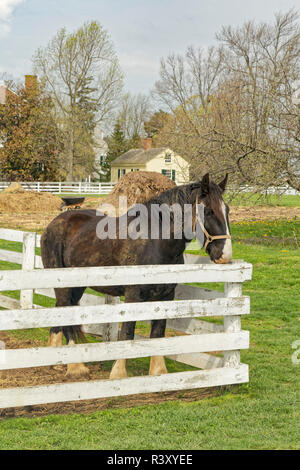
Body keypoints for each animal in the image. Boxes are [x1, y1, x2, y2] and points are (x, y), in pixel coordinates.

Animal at [40, 174, 232, 380]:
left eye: (227, 210)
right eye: (209, 211)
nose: (225, 255)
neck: (155, 242)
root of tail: (55, 221)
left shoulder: (165, 296)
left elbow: (158, 333)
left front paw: (158, 371)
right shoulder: (132, 296)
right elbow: (127, 333)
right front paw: (118, 373)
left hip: (77, 286)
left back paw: (56, 358)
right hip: (63, 283)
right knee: (64, 313)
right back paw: (75, 366)